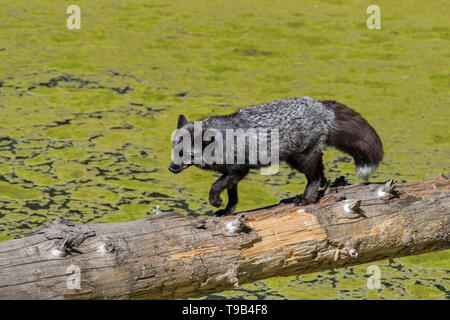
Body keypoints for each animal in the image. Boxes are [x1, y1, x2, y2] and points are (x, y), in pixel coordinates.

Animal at [169, 95, 384, 215]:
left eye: (184, 153)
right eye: (174, 149)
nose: (171, 168)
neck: (222, 142)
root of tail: (317, 105)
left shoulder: (239, 170)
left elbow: (215, 186)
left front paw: (215, 201)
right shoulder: (232, 174)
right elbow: (233, 196)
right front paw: (227, 211)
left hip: (302, 159)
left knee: (313, 176)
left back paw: (307, 198)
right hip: (296, 158)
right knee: (320, 164)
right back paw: (322, 184)